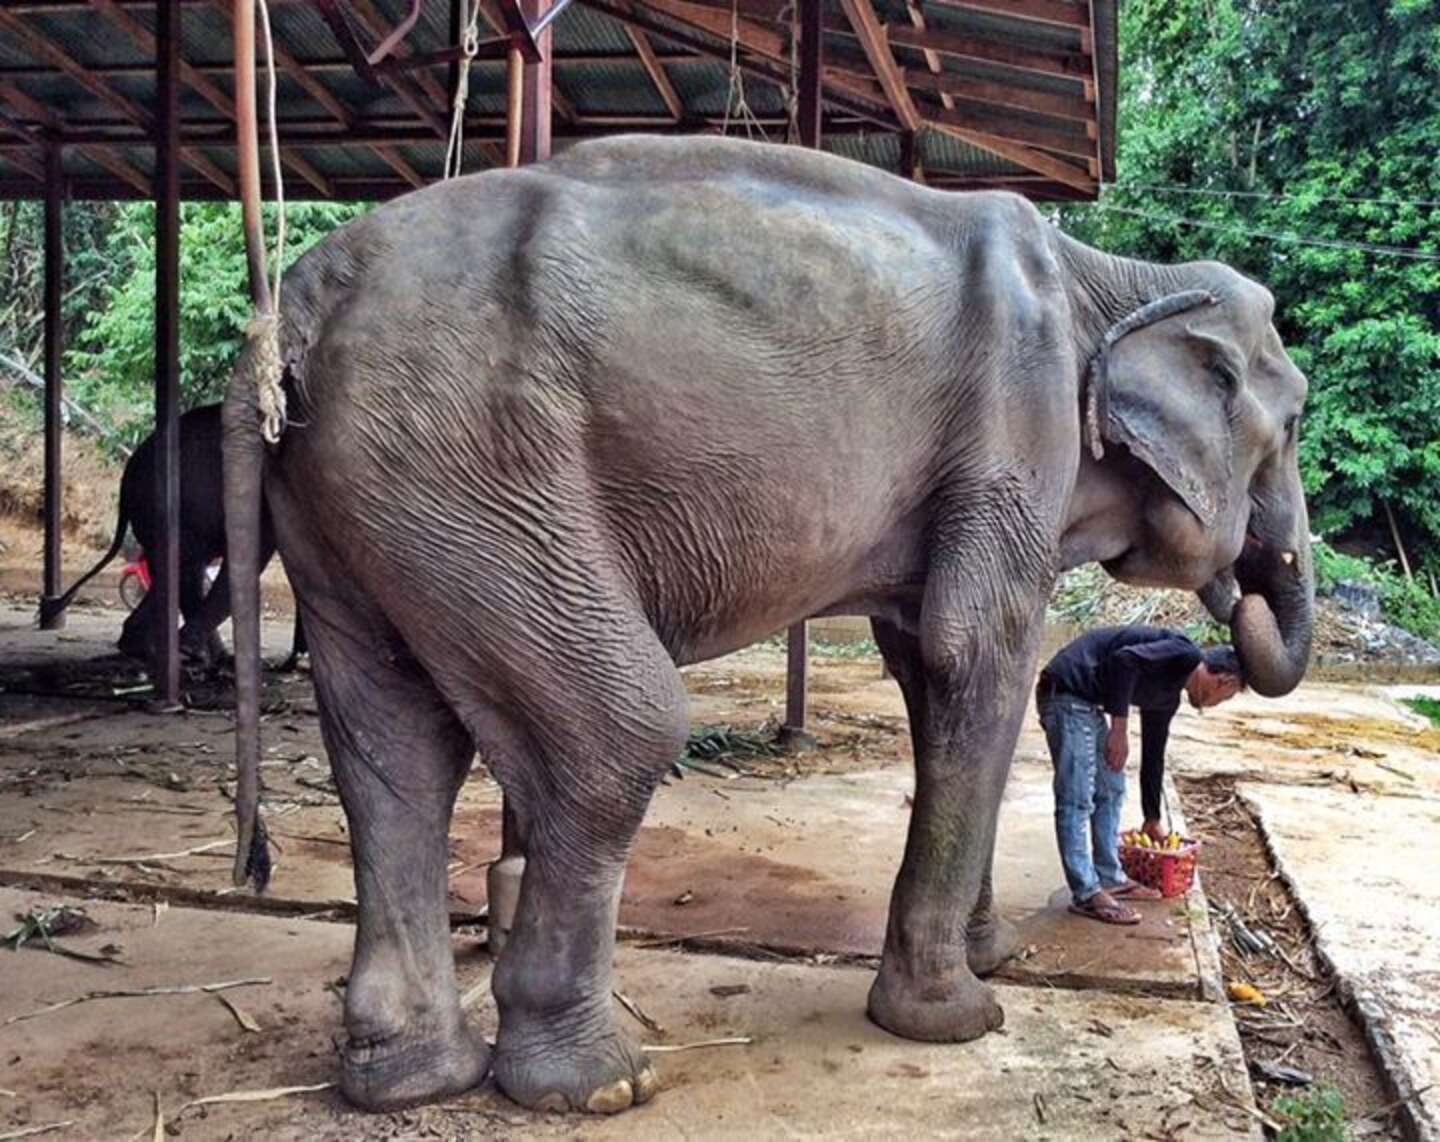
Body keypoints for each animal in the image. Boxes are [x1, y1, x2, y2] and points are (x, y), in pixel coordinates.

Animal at [218, 133, 1313, 1111]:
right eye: (1296, 418)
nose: (1247, 595)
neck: (1110, 277)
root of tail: (290, 312)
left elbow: (926, 666)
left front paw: (992, 956)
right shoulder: (1017, 422)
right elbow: (975, 652)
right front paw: (959, 1017)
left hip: (372, 491)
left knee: (395, 745)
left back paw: (408, 1078)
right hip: (470, 466)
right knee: (618, 730)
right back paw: (600, 1083)